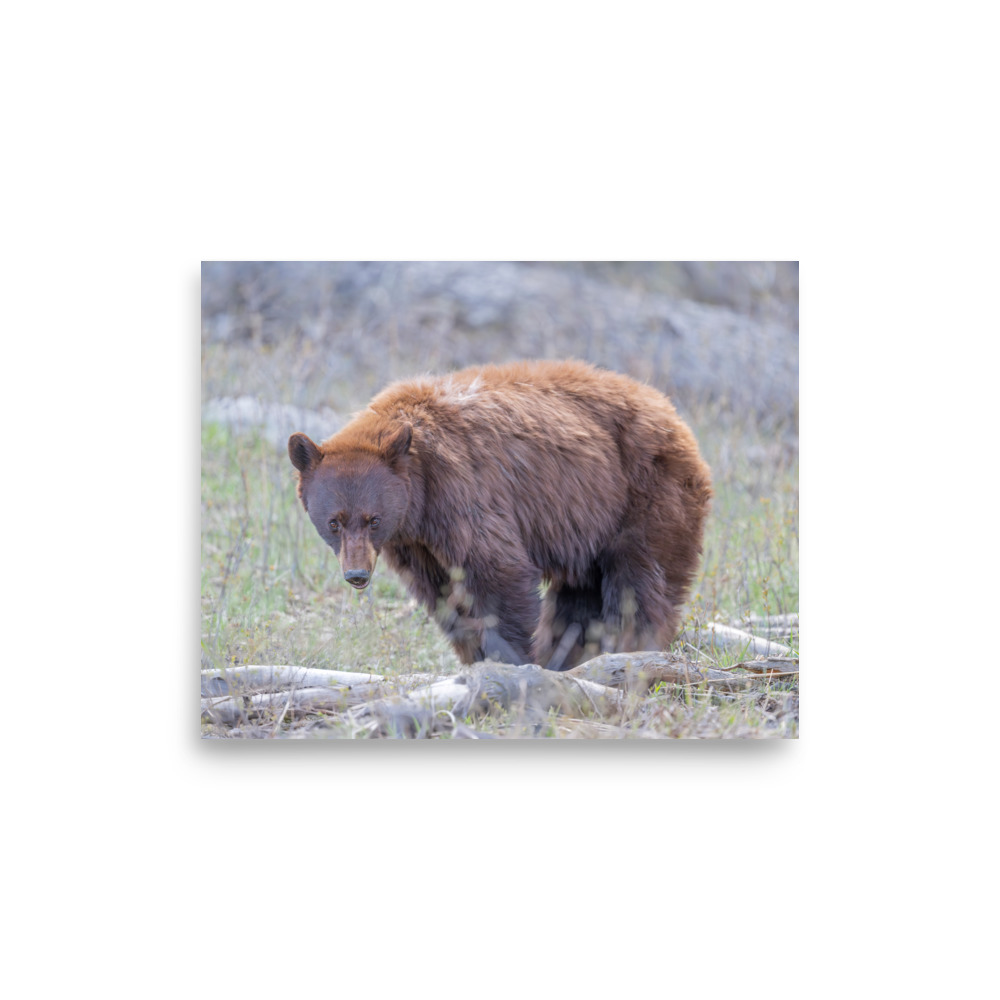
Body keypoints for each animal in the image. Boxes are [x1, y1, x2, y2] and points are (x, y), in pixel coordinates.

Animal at [288, 359, 712, 670]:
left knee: (639, 582)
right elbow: (443, 594)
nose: (357, 575)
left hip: (645, 493)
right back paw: (570, 655)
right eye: (334, 522)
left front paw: (510, 659)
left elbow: (497, 573)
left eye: (373, 519)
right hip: (589, 522)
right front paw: (476, 657)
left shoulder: (463, 492)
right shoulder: (415, 542)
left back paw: (629, 648)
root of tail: (672, 412)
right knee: (579, 596)